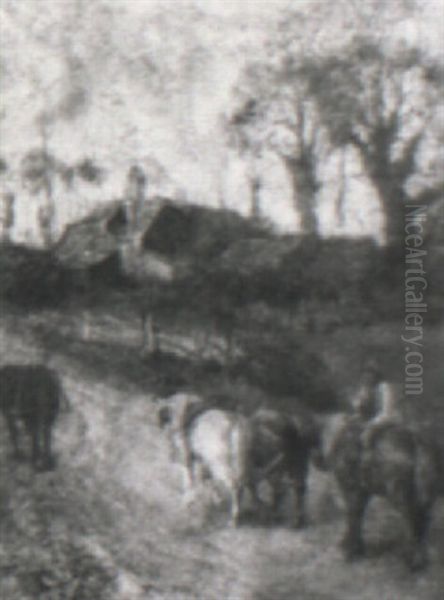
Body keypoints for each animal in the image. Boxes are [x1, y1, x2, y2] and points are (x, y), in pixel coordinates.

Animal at [320, 414, 440, 568]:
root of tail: (417, 442)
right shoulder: (362, 491)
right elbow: (358, 516)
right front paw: (357, 548)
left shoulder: (351, 489)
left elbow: (353, 517)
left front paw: (350, 550)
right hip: (425, 495)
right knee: (423, 521)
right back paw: (420, 560)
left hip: (399, 493)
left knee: (413, 520)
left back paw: (412, 561)